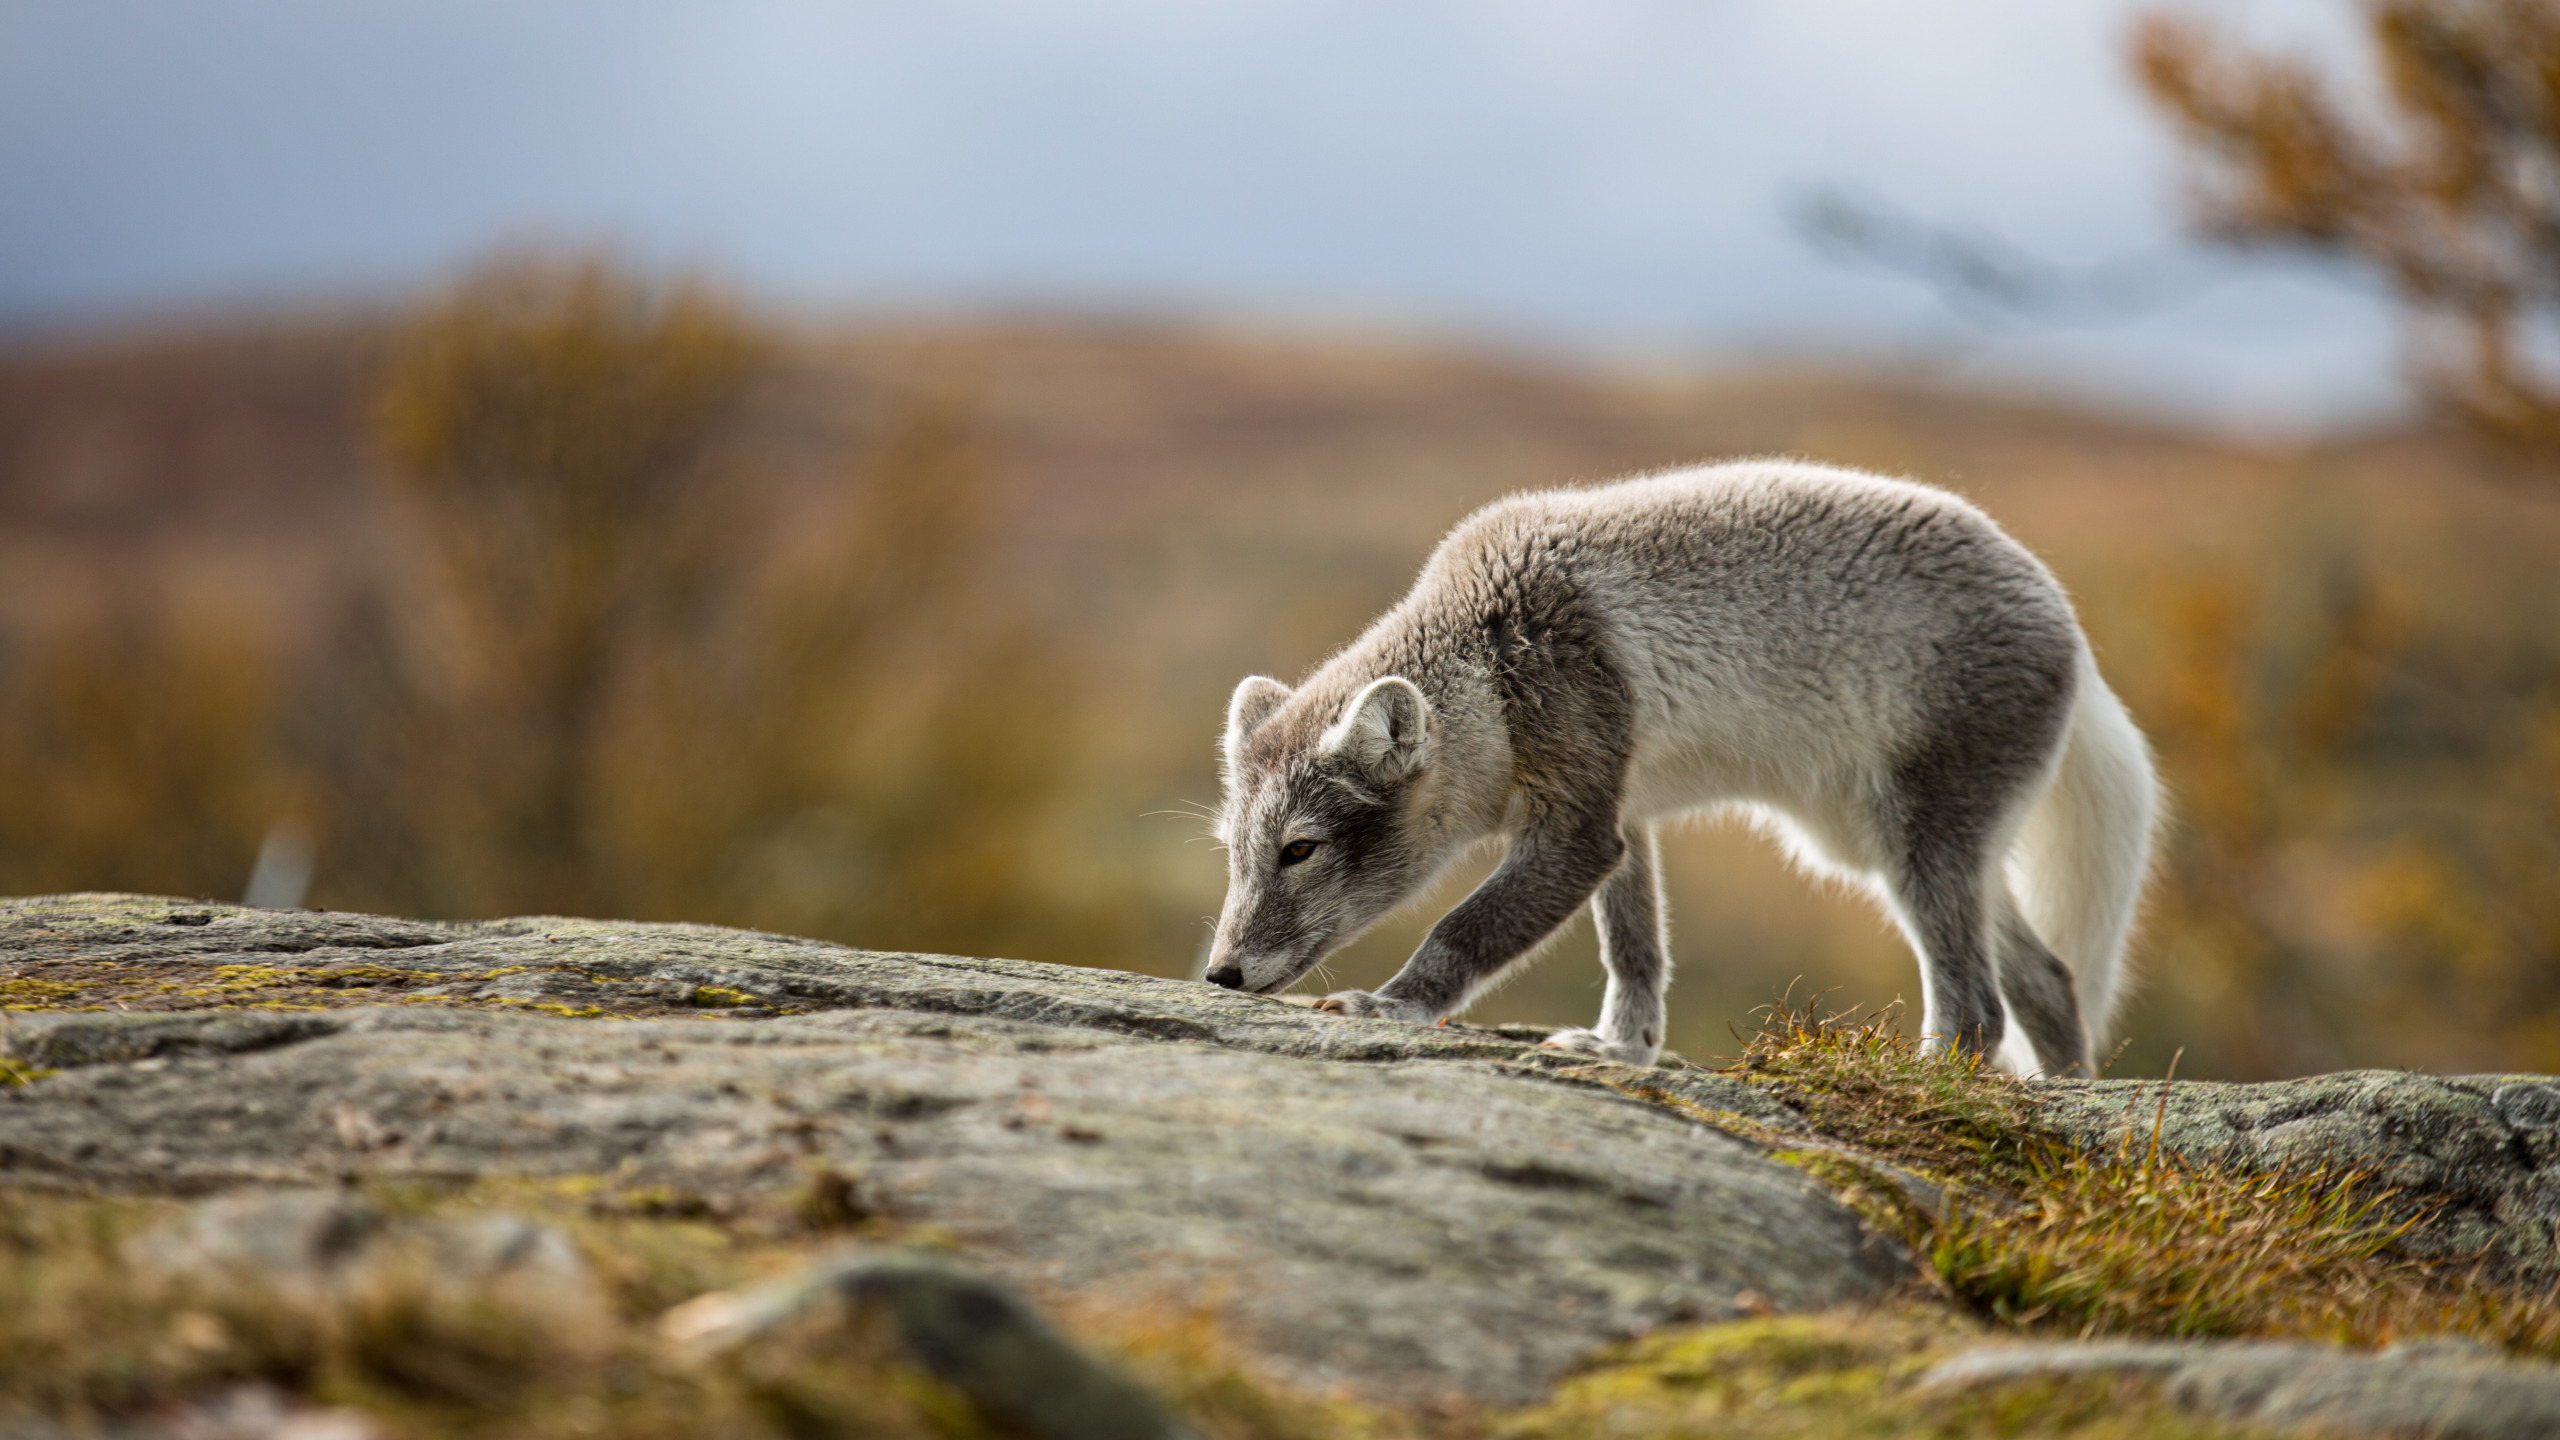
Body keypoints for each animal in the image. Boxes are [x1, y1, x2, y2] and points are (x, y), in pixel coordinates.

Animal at [1203, 453, 2160, 1071]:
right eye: (1234, 854)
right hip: (1897, 849)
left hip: (1915, 847)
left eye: (1300, 849)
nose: (1220, 975)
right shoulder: (1621, 814)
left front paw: (1392, 1004)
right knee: (2049, 980)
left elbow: (1464, 929)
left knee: (1981, 1008)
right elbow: (1636, 954)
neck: (1492, 661)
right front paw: (1622, 1048)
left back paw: (1933, 1078)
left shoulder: (1578, 827)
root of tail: (2073, 628)